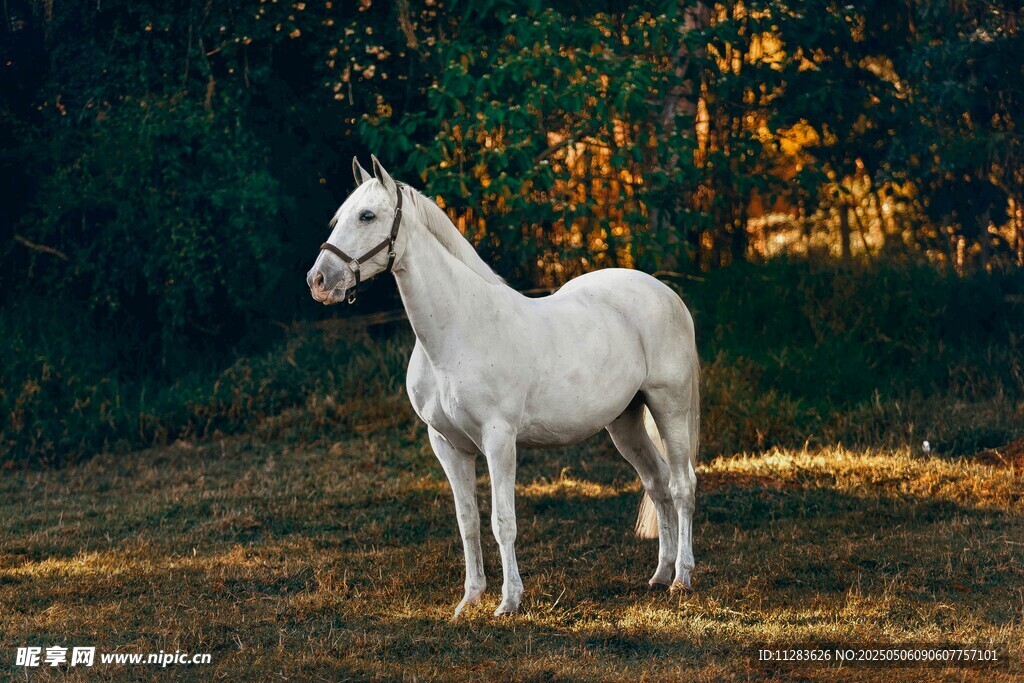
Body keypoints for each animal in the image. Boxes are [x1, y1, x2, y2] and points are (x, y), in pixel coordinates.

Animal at [307, 156, 700, 618]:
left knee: (682, 485)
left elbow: (502, 522)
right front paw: (470, 599)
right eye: (339, 218)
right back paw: (659, 575)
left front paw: (509, 601)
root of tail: (666, 293)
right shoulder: (447, 445)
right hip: (625, 422)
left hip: (668, 406)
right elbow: (468, 522)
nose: (318, 280)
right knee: (657, 484)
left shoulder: (499, 439)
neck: (458, 330)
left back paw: (682, 578)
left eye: (367, 216)